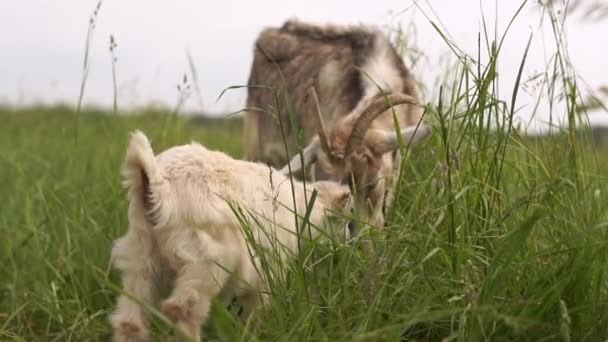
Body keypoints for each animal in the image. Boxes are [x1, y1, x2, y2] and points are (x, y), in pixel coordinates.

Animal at [107, 130, 350, 340]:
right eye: (347, 218)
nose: (348, 246)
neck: (300, 205)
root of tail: (159, 183)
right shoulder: (269, 272)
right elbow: (257, 314)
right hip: (204, 262)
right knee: (183, 312)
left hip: (140, 257)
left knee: (130, 322)